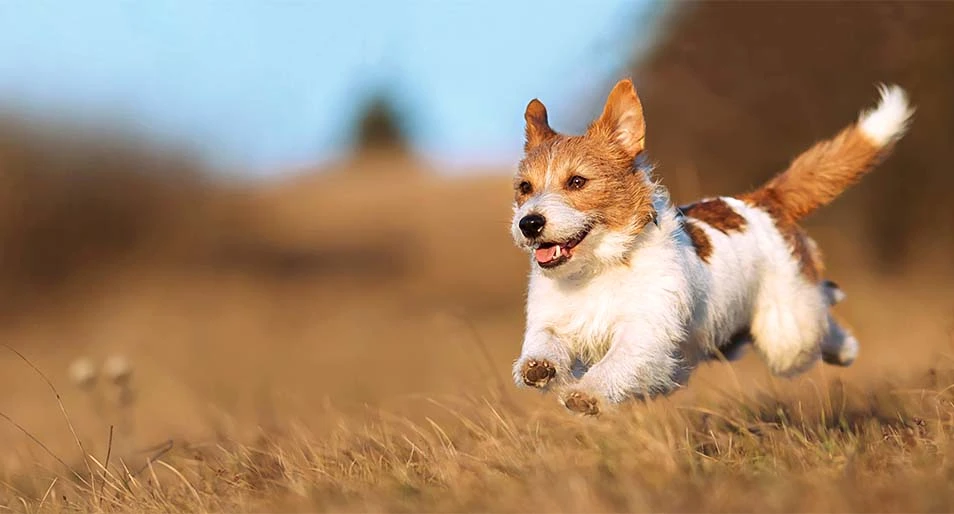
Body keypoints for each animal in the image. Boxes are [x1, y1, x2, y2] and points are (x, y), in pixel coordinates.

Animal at [510, 80, 912, 416]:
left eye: (577, 182)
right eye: (525, 187)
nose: (529, 223)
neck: (599, 267)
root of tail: (762, 200)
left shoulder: (645, 332)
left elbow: (618, 361)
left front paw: (586, 393)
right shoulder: (554, 319)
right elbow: (544, 341)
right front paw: (539, 366)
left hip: (787, 335)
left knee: (821, 313)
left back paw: (845, 346)